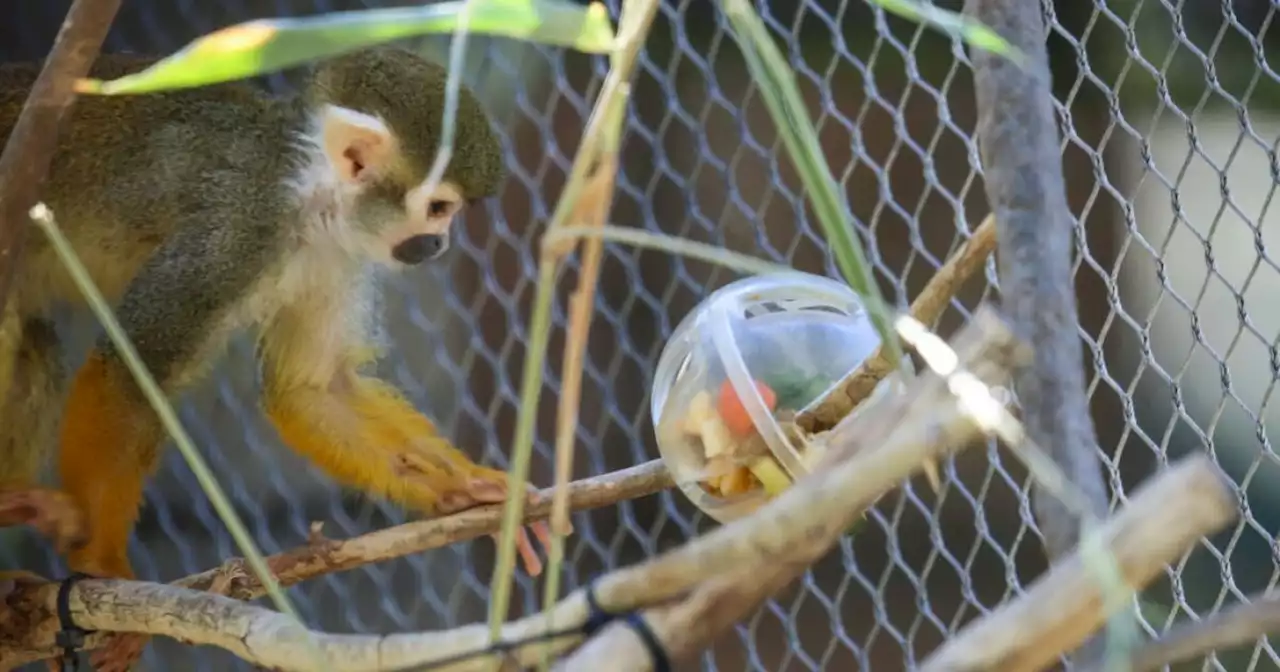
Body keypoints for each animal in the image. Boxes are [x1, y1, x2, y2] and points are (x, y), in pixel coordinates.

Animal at [3, 47, 555, 583]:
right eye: (439, 208)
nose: (440, 244)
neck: (306, 196)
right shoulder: (236, 231)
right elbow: (127, 372)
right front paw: (100, 562)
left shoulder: (335, 255)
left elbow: (308, 390)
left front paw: (465, 486)